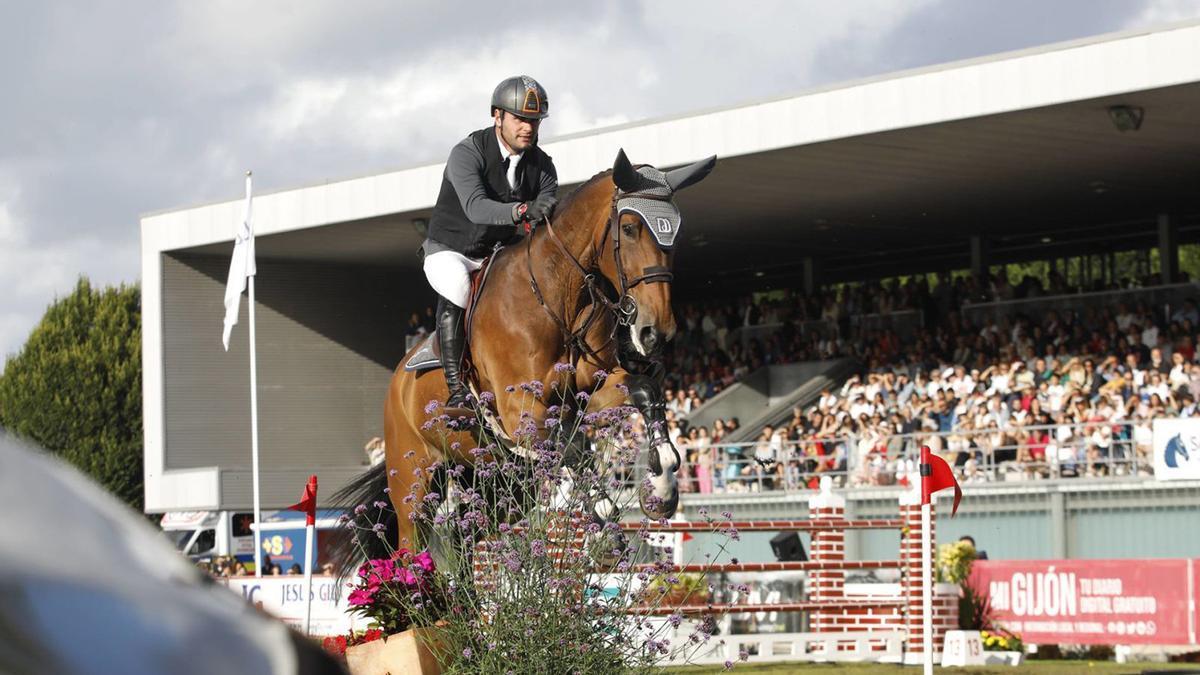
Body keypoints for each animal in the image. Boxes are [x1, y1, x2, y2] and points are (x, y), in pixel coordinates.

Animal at [333, 149, 715, 554]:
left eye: (675, 232)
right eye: (629, 229)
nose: (656, 332)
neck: (558, 296)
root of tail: (396, 383)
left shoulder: (589, 394)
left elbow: (644, 389)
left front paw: (662, 482)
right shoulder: (520, 413)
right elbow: (576, 445)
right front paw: (602, 514)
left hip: (500, 481)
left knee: (464, 536)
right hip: (415, 482)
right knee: (410, 546)